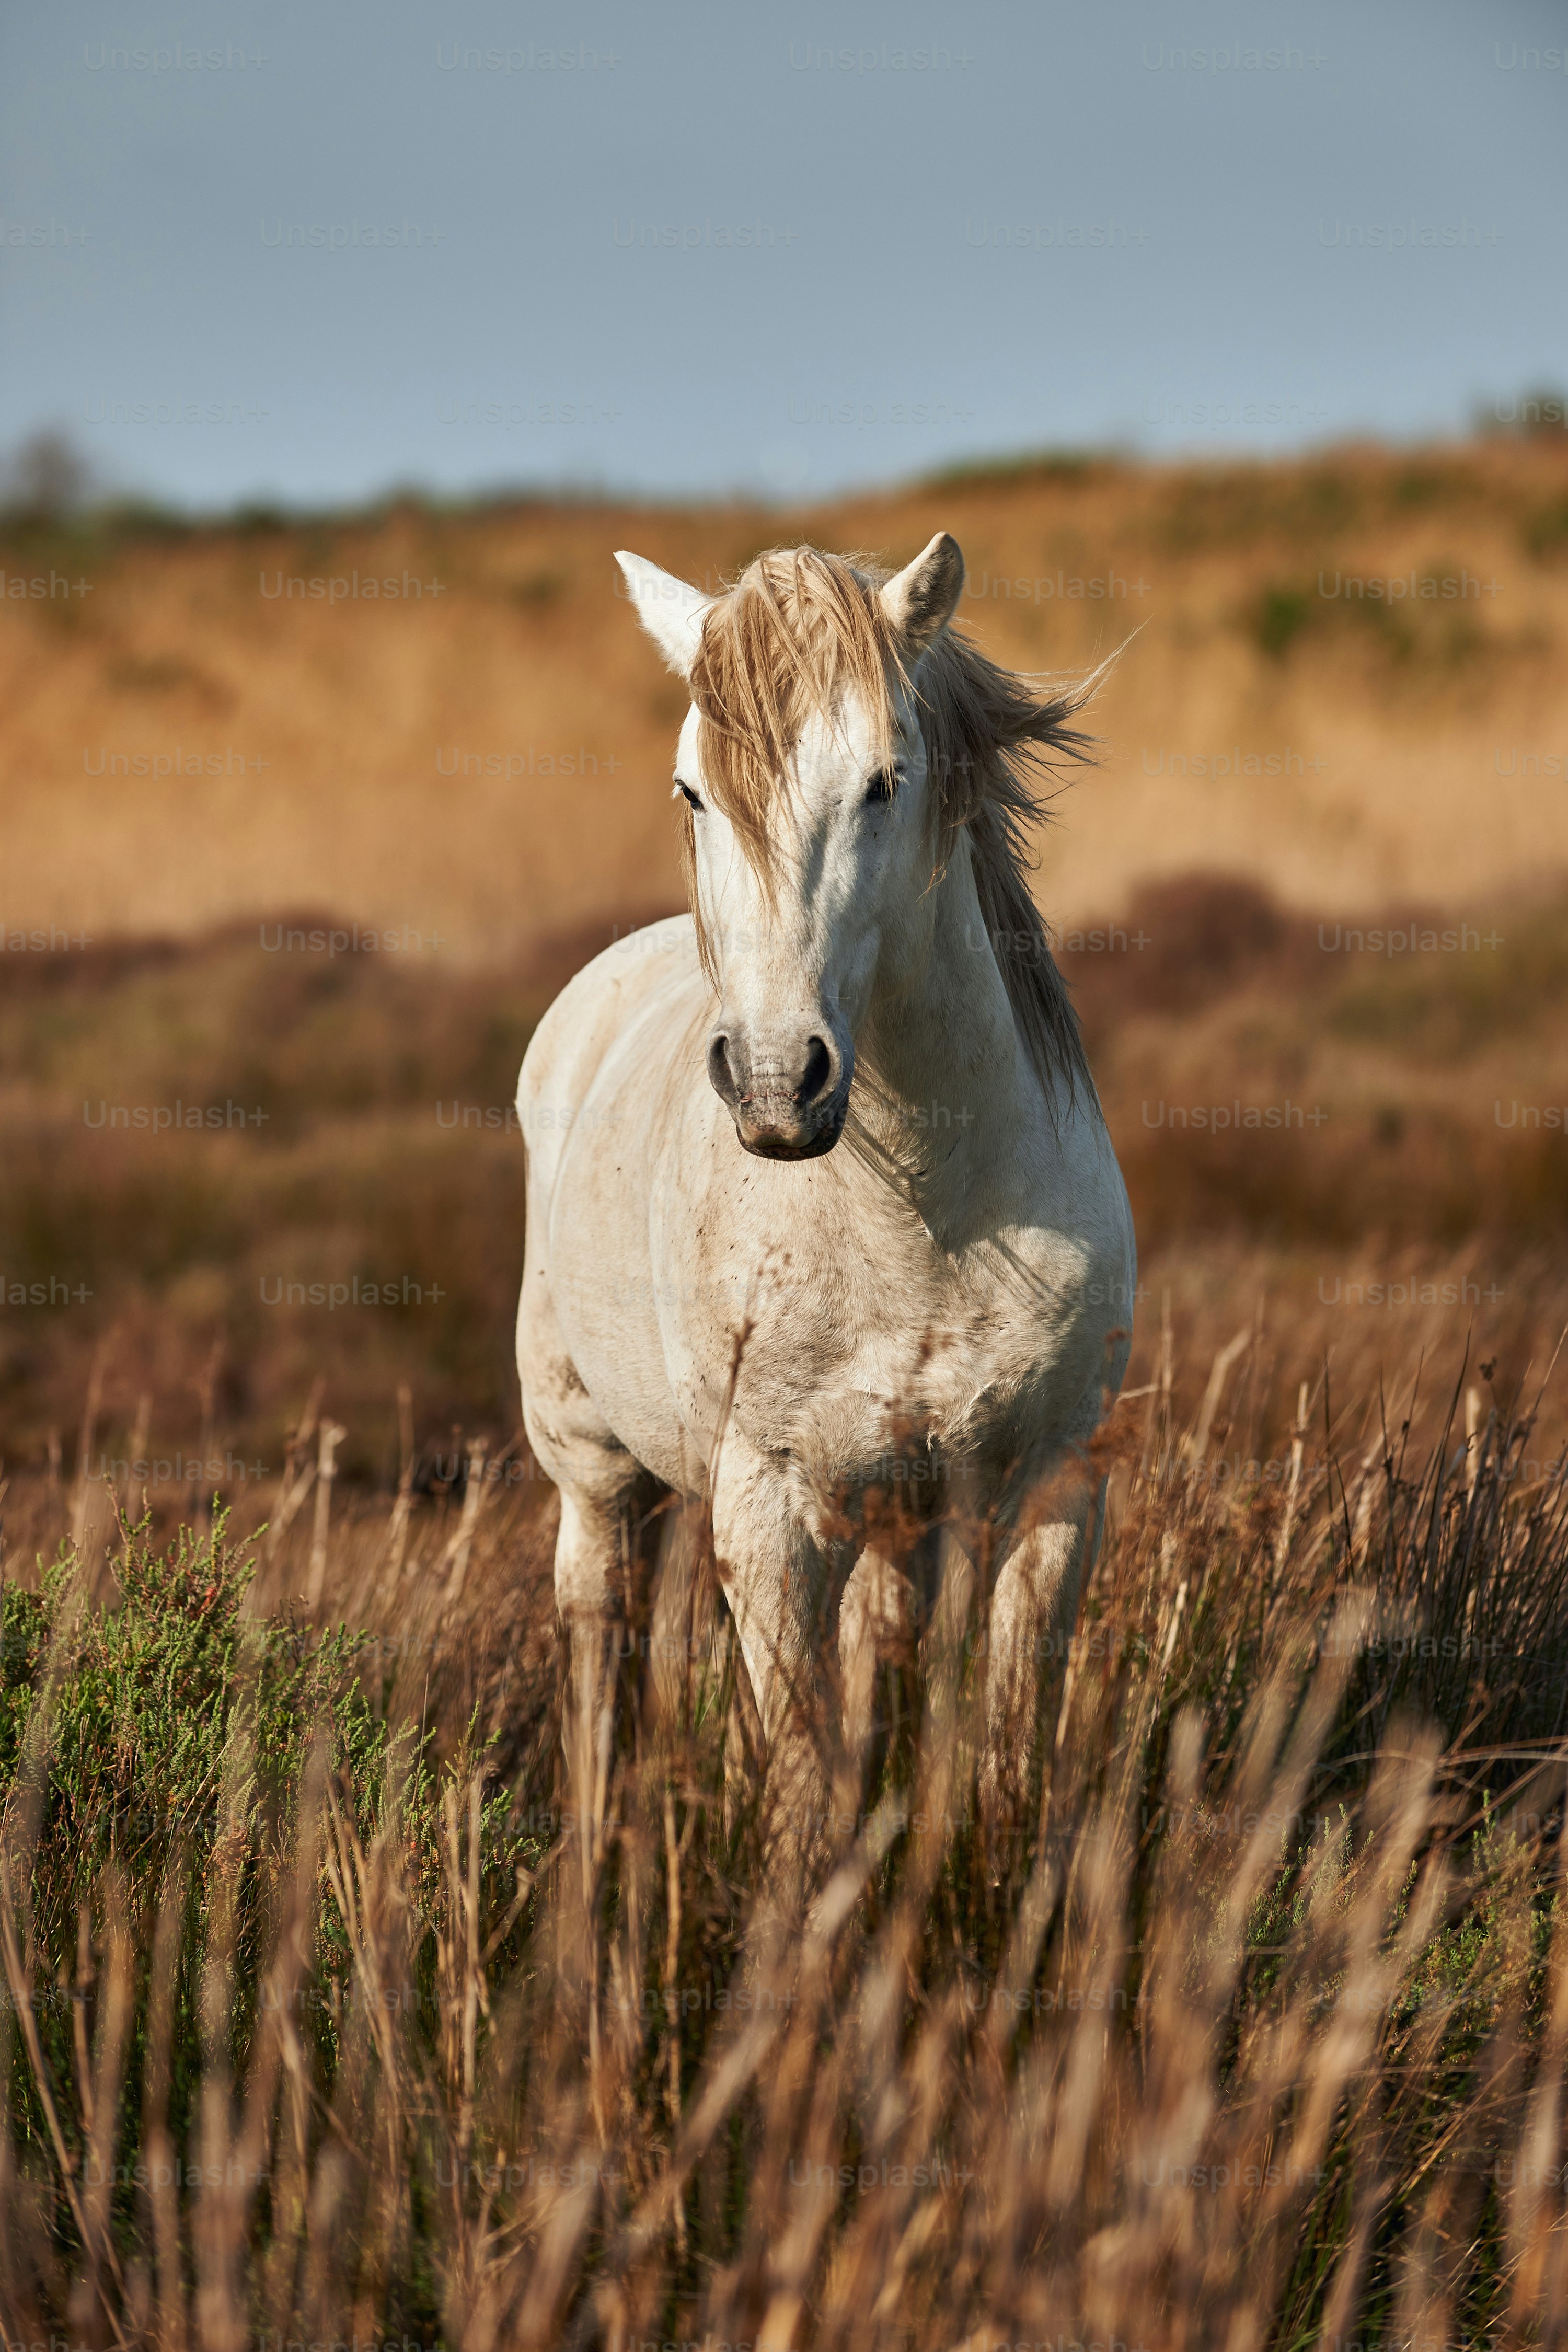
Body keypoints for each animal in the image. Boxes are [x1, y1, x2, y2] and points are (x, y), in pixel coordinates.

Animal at [516, 531, 1135, 1868]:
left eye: (885, 781)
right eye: (691, 791)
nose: (771, 1080)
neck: (928, 1227)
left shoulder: (1051, 1490)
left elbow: (1005, 1757)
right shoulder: (769, 1509)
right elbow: (804, 1791)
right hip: (591, 1464)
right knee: (598, 1634)